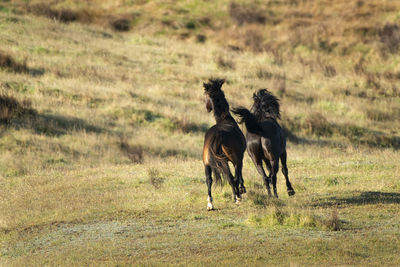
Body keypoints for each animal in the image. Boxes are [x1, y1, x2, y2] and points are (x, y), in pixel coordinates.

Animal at [203, 78, 247, 210]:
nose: (207, 108)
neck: (225, 119)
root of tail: (217, 135)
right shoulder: (239, 159)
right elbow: (238, 176)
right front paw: (241, 191)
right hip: (231, 160)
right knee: (232, 178)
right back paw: (238, 198)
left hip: (208, 163)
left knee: (209, 180)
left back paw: (210, 204)